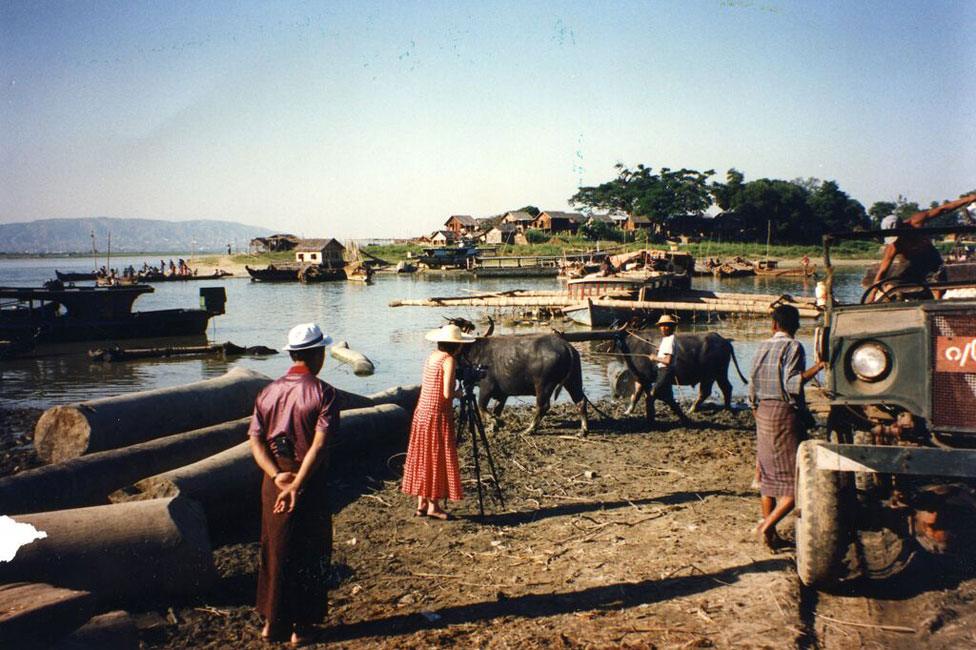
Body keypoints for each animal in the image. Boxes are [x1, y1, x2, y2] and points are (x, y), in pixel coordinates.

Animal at [616, 330, 748, 426]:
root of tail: (724, 341)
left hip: (709, 375)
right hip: (720, 373)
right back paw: (727, 408)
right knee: (726, 388)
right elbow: (636, 395)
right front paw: (628, 411)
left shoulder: (645, 378)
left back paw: (692, 409)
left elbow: (643, 395)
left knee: (706, 391)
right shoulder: (640, 378)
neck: (631, 346)